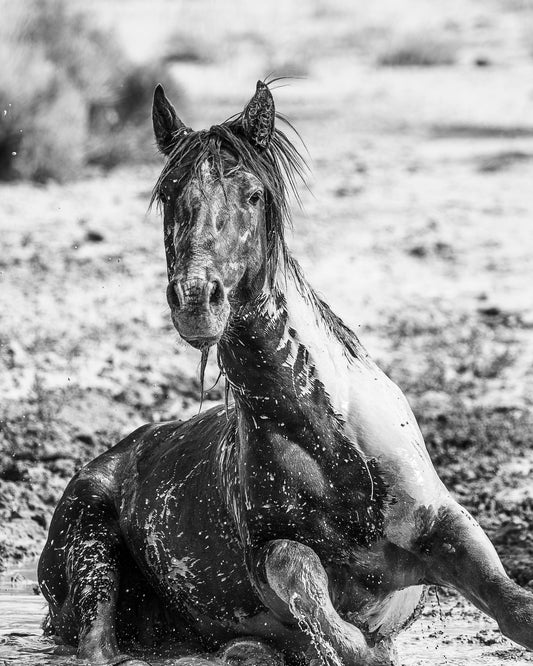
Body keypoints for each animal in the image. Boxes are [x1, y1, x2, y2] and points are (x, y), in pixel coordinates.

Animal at [38, 80, 533, 666]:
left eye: (253, 195)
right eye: (170, 194)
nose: (195, 300)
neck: (334, 446)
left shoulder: (443, 524)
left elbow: (514, 608)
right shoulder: (273, 555)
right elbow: (321, 607)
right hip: (91, 552)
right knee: (99, 646)